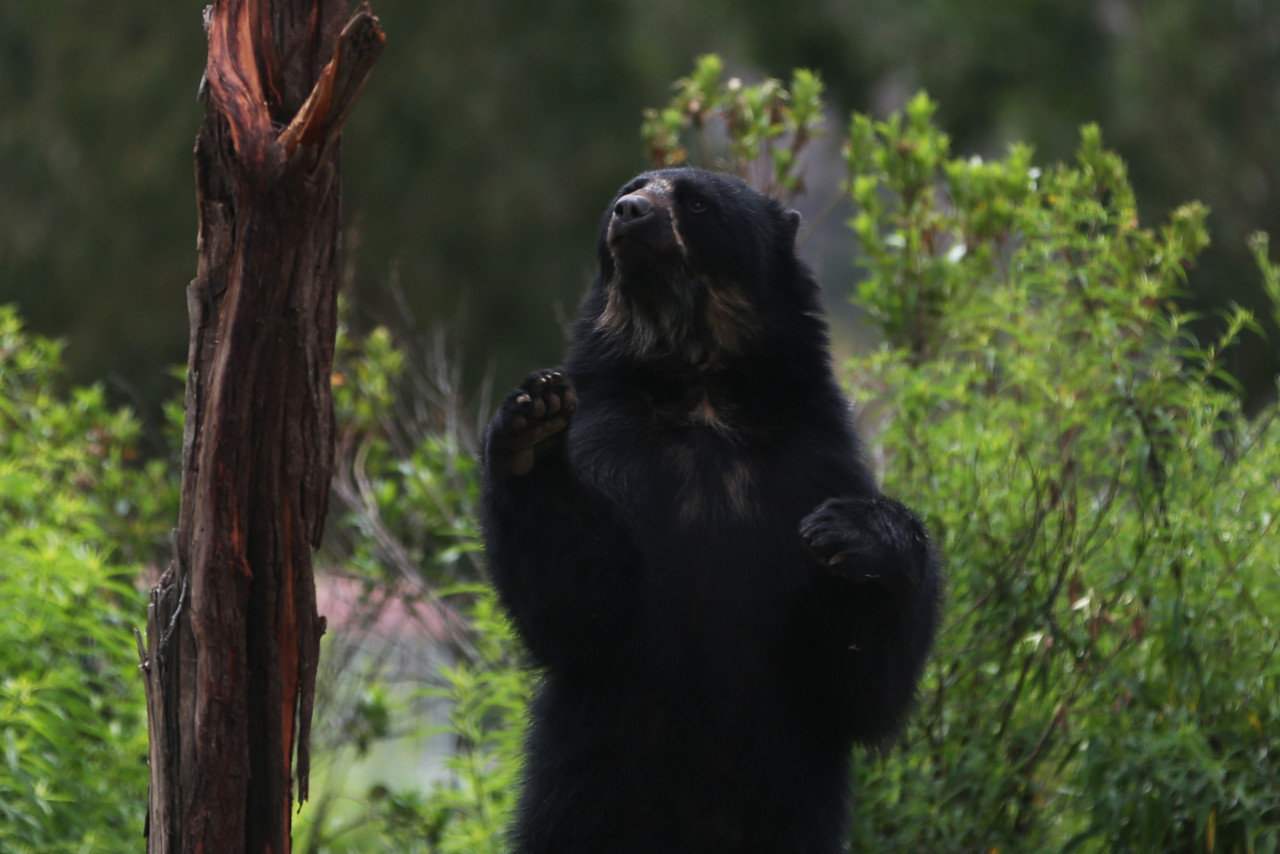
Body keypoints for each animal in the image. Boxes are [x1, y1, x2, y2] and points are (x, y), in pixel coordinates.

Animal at [481, 169, 942, 854]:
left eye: (695, 203)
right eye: (630, 188)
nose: (627, 213)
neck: (701, 387)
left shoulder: (814, 461)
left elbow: (856, 679)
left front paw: (850, 533)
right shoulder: (609, 443)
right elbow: (582, 598)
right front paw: (532, 422)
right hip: (580, 793)